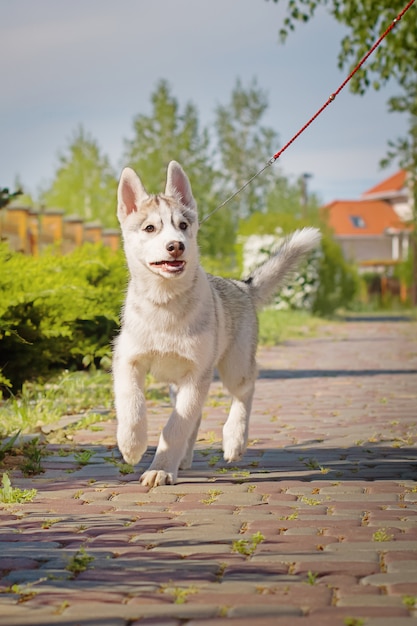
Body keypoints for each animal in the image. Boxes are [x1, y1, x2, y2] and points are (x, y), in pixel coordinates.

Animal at [112, 160, 320, 482]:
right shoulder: (127, 360)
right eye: (150, 228)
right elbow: (132, 403)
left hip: (234, 367)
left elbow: (175, 426)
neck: (165, 304)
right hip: (182, 383)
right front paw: (132, 444)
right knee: (194, 417)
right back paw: (184, 458)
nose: (176, 246)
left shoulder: (197, 373)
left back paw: (234, 439)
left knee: (245, 390)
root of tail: (242, 285)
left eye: (183, 226)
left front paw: (160, 468)